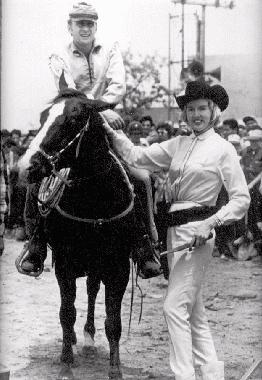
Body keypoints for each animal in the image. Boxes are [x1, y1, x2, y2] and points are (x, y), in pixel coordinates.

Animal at [19, 90, 138, 380]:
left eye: (72, 120)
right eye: (42, 118)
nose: (28, 165)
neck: (95, 200)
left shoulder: (118, 267)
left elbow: (114, 321)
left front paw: (115, 370)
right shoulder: (64, 263)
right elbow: (67, 312)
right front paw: (65, 364)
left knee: (92, 291)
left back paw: (88, 337)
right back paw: (74, 339)